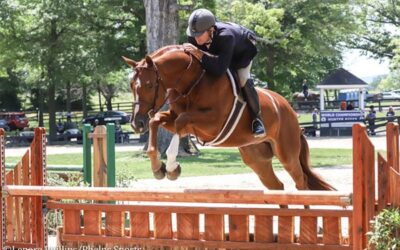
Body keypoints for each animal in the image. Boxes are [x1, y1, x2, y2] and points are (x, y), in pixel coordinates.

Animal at [124, 45, 334, 190]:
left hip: (287, 154)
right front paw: (158, 168)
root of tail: (288, 109)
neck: (192, 82)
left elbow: (180, 121)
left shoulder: (212, 123)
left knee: (302, 182)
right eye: (131, 85)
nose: (136, 123)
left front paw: (171, 168)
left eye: (149, 85)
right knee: (277, 185)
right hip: (256, 158)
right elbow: (157, 121)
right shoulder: (176, 117)